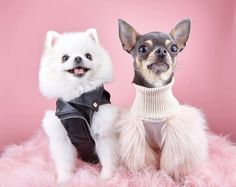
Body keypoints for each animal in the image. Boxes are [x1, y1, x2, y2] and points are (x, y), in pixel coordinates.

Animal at [39, 28, 120, 183]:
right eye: (64, 58)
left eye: (88, 56)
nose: (77, 58)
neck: (79, 98)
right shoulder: (62, 137)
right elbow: (64, 162)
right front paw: (65, 178)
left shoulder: (103, 132)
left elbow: (107, 157)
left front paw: (105, 177)